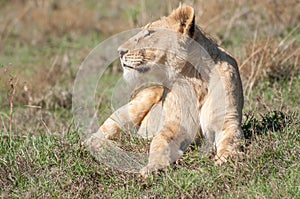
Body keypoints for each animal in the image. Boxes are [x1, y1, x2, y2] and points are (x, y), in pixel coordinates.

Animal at [86, 4, 244, 176]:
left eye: (150, 33)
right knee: (94, 138)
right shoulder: (174, 124)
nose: (119, 51)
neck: (194, 78)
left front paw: (227, 160)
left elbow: (231, 139)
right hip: (134, 106)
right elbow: (159, 142)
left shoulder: (227, 119)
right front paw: (153, 167)